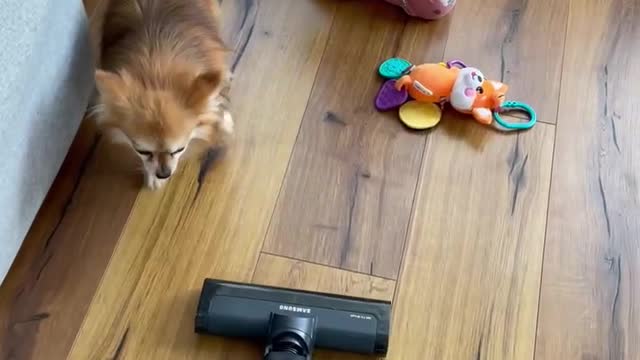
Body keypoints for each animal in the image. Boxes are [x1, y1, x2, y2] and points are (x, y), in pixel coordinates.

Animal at [89, 0, 231, 190]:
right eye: (142, 151)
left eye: (179, 149)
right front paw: (153, 177)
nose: (164, 174)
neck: (157, 71)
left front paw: (223, 119)